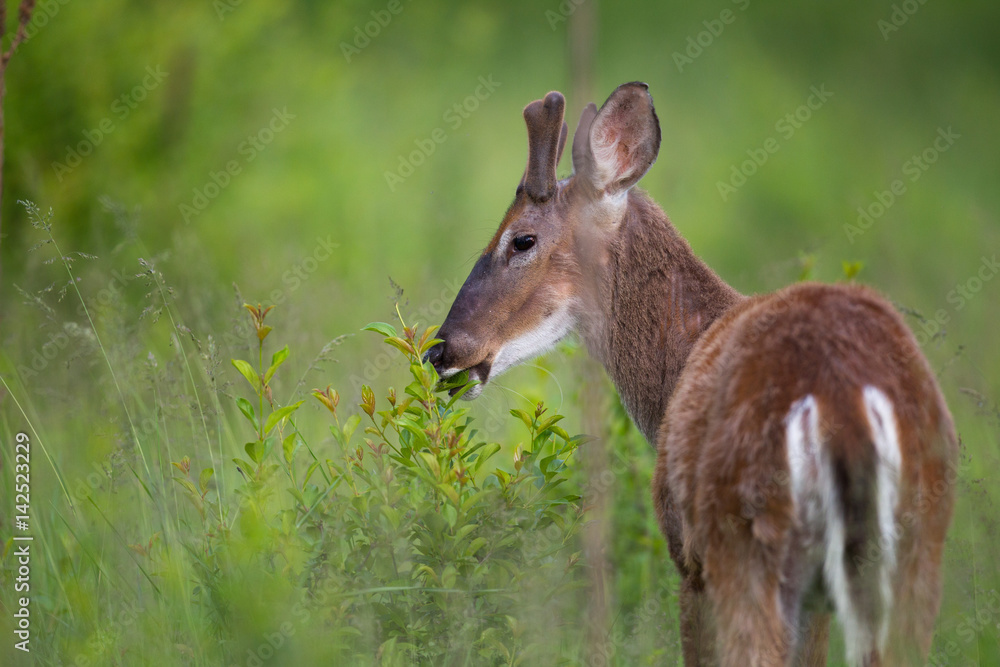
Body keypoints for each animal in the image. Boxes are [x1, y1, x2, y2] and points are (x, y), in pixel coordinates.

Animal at [425, 82, 958, 666]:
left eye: (521, 239)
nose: (442, 349)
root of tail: (842, 401)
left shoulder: (689, 560)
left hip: (745, 542)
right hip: (917, 549)